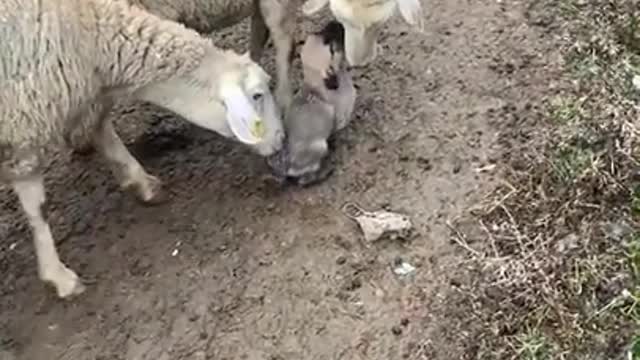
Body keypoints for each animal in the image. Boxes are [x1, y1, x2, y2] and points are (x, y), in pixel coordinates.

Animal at [0, 0, 284, 298]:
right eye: (257, 95)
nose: (281, 138)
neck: (88, 33)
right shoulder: (22, 132)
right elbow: (39, 209)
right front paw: (59, 277)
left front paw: (141, 182)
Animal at [264, 20, 358, 186]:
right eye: (332, 48)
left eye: (319, 32)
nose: (336, 22)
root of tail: (286, 166)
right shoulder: (341, 120)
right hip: (320, 147)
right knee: (304, 180)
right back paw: (322, 174)